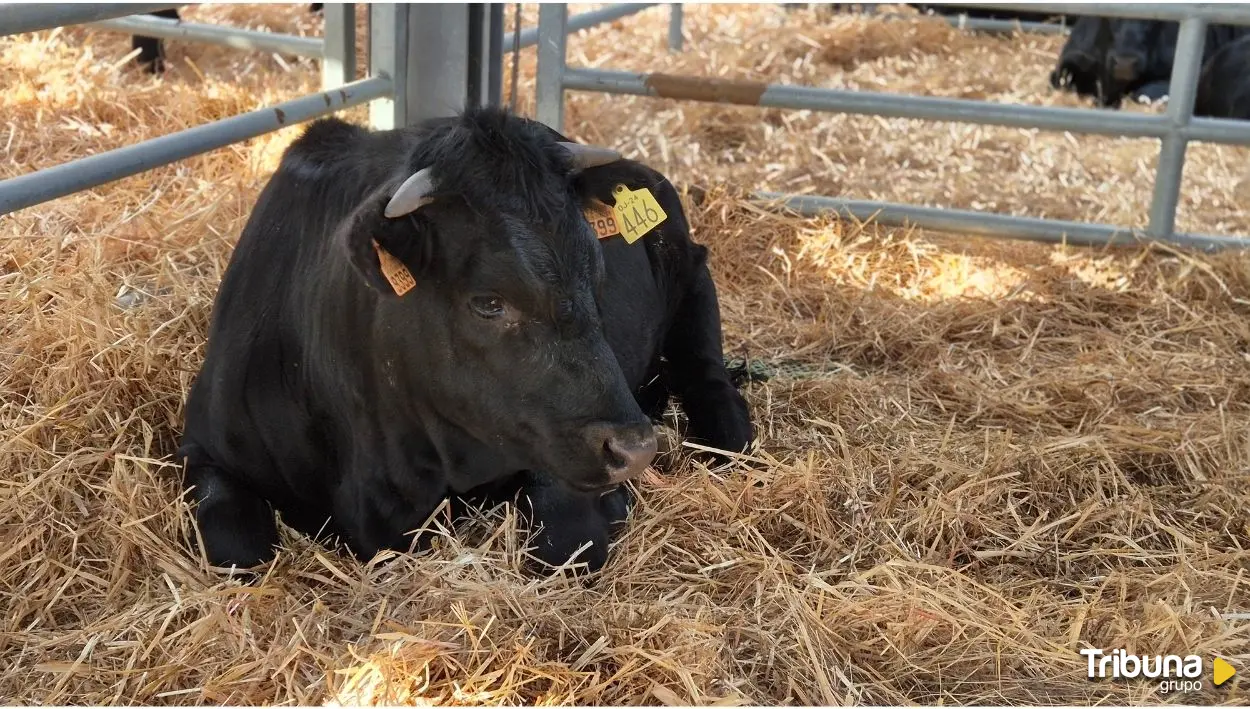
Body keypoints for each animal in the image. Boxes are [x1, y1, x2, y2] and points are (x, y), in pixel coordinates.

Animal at [177, 107, 755, 576]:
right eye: (489, 301)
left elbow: (566, 542)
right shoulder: (203, 448)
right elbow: (237, 550)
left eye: (596, 272)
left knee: (710, 381)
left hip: (695, 277)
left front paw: (612, 506)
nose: (634, 449)